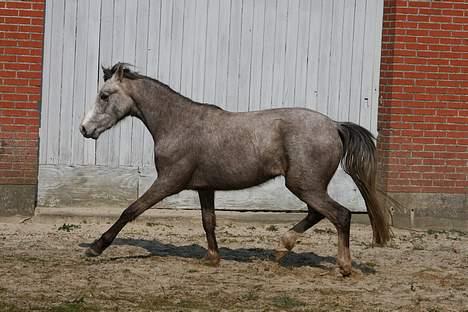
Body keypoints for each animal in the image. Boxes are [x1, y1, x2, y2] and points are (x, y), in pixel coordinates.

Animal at [80, 62, 392, 276]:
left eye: (105, 95)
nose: (85, 129)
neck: (177, 123)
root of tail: (335, 126)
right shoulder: (205, 187)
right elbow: (208, 221)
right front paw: (212, 257)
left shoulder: (168, 181)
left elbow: (131, 210)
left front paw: (96, 247)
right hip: (308, 186)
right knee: (318, 214)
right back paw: (280, 249)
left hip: (304, 185)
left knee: (340, 215)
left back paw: (344, 266)